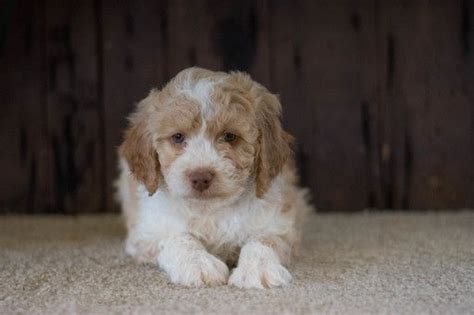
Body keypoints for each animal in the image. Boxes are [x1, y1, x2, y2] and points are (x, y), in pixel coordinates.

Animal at [117, 67, 312, 288]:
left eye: (229, 136)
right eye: (178, 137)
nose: (200, 177)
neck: (210, 211)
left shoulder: (279, 224)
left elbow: (263, 240)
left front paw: (257, 268)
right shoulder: (147, 233)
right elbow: (178, 238)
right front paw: (198, 264)